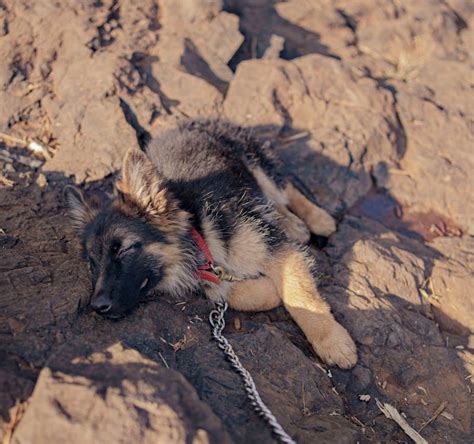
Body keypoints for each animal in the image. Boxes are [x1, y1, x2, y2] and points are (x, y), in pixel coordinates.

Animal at [65, 118, 356, 368]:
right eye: (92, 262)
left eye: (125, 248)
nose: (97, 307)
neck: (199, 233)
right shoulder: (211, 274)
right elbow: (225, 291)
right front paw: (266, 290)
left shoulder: (275, 249)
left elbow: (300, 295)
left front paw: (332, 342)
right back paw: (291, 223)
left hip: (253, 161)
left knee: (284, 187)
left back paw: (317, 219)